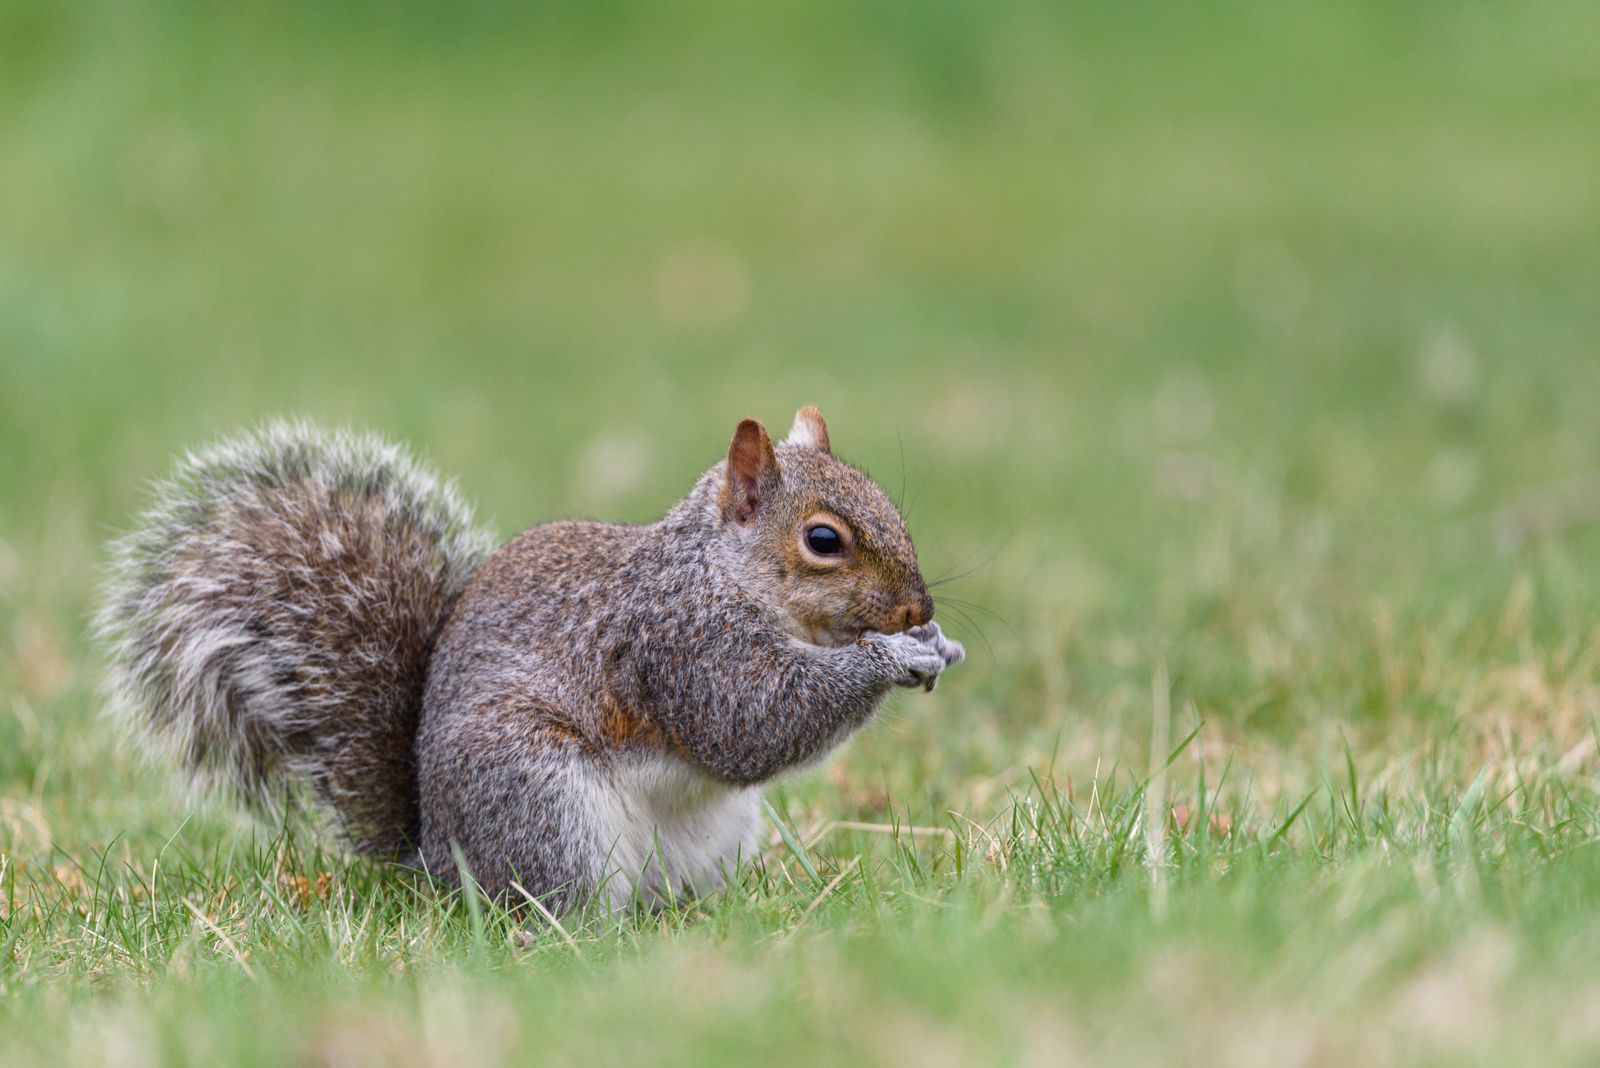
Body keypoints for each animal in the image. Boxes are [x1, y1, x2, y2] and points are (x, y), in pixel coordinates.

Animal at [96, 407, 963, 910]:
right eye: (822, 540)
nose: (916, 609)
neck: (720, 572)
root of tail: (434, 861)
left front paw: (934, 645)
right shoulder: (680, 644)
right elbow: (748, 726)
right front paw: (889, 657)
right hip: (540, 798)